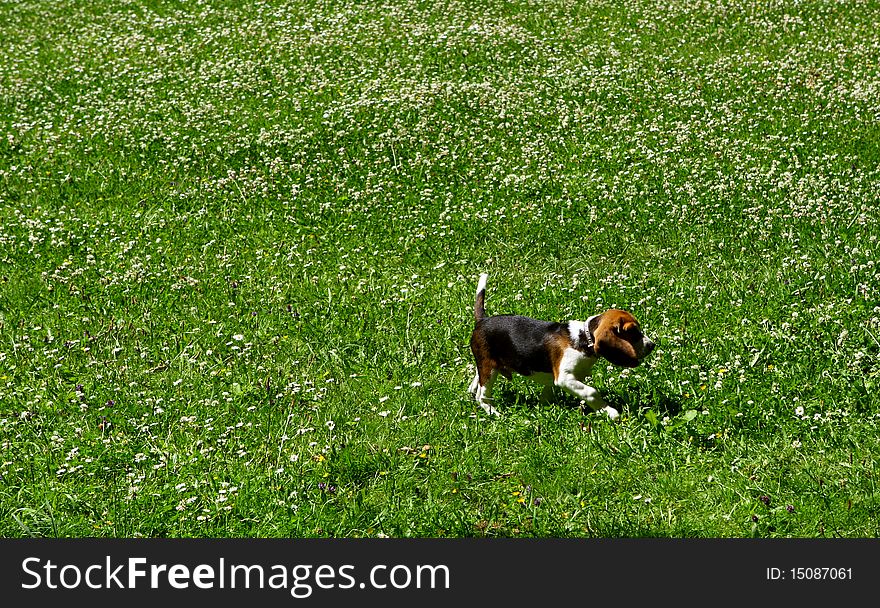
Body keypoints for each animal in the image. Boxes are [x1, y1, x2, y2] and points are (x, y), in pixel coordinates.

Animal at [468, 274, 652, 420]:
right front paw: (609, 411)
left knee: (477, 380)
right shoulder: (565, 378)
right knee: (482, 396)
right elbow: (591, 392)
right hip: (489, 368)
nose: (652, 345)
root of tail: (482, 320)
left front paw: (545, 407)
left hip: (485, 364)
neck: (584, 338)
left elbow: (549, 392)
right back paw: (494, 413)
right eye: (632, 331)